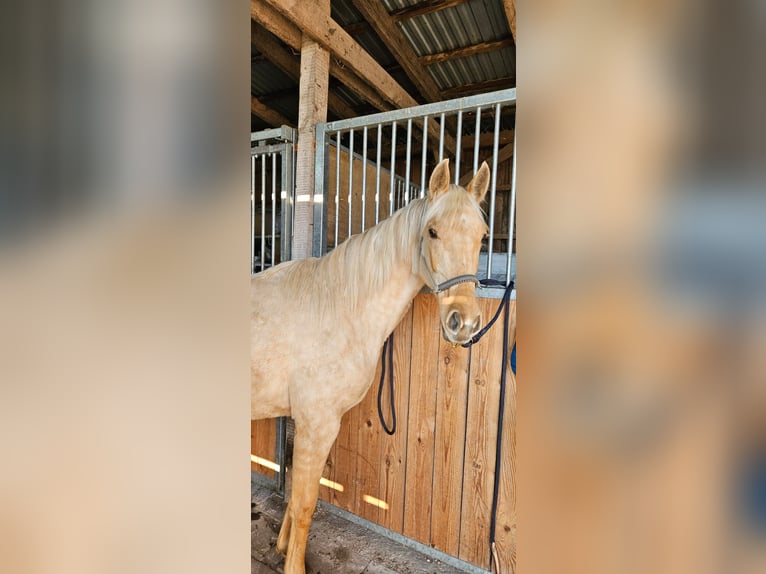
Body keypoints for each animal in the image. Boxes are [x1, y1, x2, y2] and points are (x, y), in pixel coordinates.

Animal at [251, 158, 490, 574]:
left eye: (482, 236)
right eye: (432, 232)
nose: (464, 323)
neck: (337, 307)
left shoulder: (306, 422)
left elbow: (295, 490)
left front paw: (281, 547)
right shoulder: (318, 424)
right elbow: (305, 504)